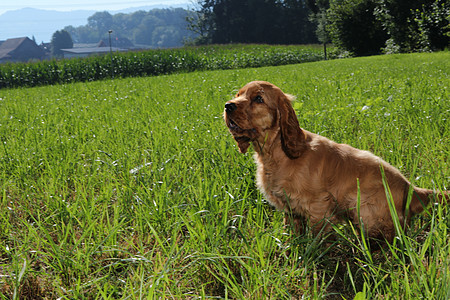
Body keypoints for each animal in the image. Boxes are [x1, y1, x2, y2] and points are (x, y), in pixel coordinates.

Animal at [224, 81, 446, 243]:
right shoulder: (291, 209)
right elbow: (292, 230)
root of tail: (412, 189)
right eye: (238, 95)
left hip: (364, 208)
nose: (228, 105)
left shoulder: (318, 207)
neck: (276, 153)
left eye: (258, 98)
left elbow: (318, 239)